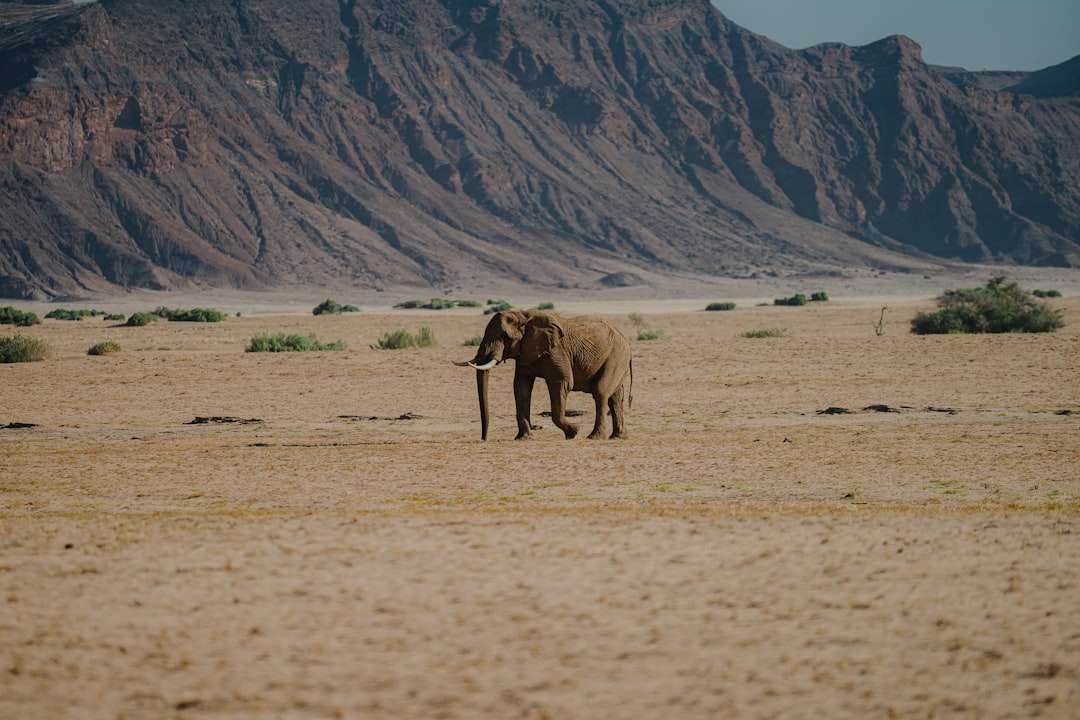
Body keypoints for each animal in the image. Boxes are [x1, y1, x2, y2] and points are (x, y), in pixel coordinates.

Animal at [455, 309, 633, 441]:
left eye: (504, 336)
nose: (483, 438)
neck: (523, 315)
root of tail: (625, 339)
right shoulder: (525, 353)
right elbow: (521, 387)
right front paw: (523, 438)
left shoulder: (556, 351)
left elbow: (562, 382)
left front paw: (574, 432)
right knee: (615, 397)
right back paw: (617, 437)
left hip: (616, 356)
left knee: (601, 392)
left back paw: (594, 437)